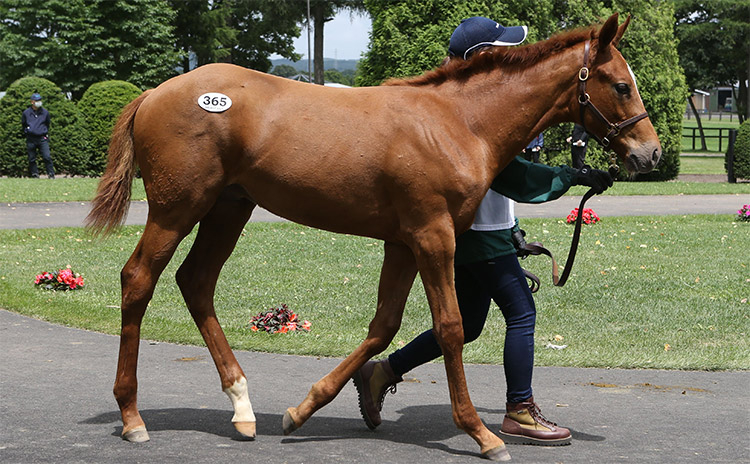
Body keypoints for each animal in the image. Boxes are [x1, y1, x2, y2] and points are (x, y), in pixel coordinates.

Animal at [88, 14, 660, 460]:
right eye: (620, 84)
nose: (650, 153)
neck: (457, 122)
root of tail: (156, 93)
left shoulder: (403, 242)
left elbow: (384, 327)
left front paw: (305, 408)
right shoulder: (433, 237)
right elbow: (450, 328)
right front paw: (480, 433)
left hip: (229, 207)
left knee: (197, 281)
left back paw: (242, 407)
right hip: (177, 208)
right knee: (138, 279)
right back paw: (133, 417)